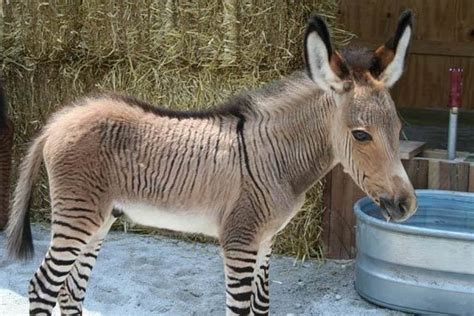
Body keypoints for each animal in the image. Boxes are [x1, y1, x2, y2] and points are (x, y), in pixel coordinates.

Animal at [6, 10, 414, 316]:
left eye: (398, 128)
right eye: (361, 135)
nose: (407, 206)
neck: (276, 158)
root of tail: (60, 119)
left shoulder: (265, 242)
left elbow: (262, 307)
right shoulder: (239, 241)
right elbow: (241, 310)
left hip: (99, 218)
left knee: (70, 290)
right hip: (78, 215)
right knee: (44, 287)